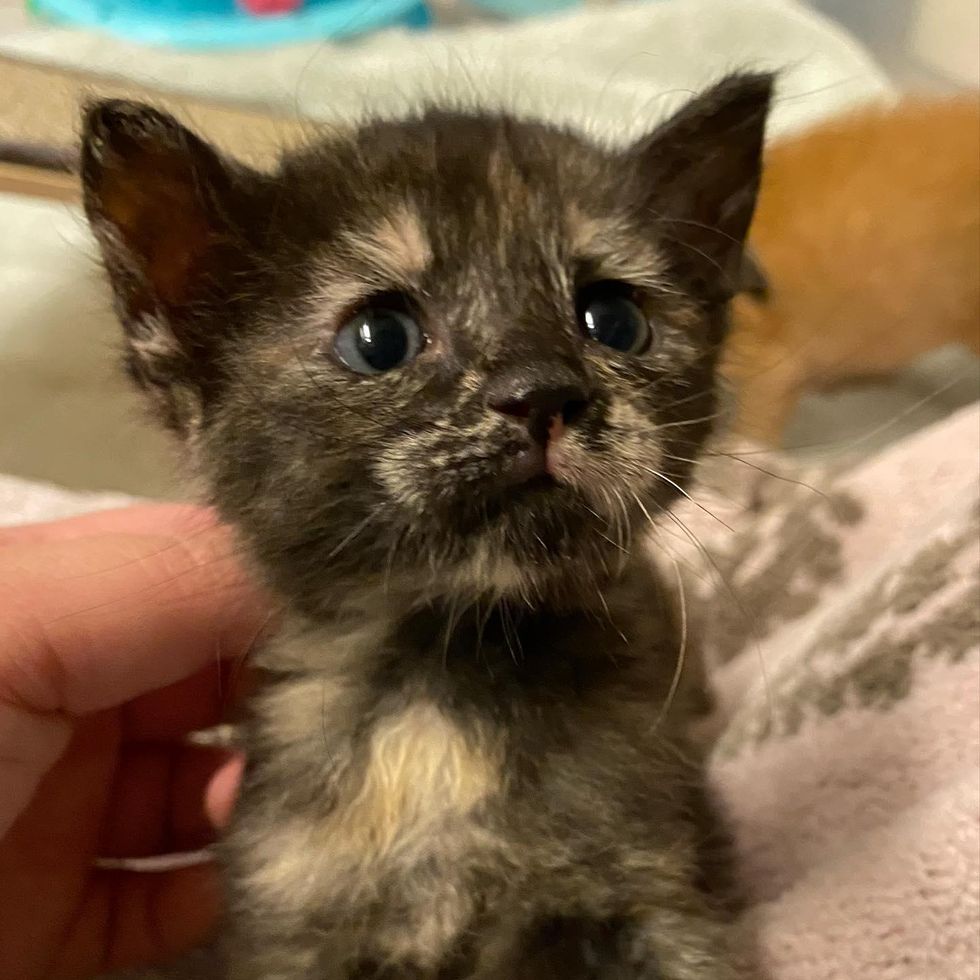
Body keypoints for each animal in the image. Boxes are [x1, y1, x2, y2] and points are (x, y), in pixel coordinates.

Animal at [82, 76, 772, 980]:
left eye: (614, 320)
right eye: (380, 338)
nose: (543, 390)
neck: (448, 678)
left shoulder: (656, 888)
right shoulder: (290, 929)